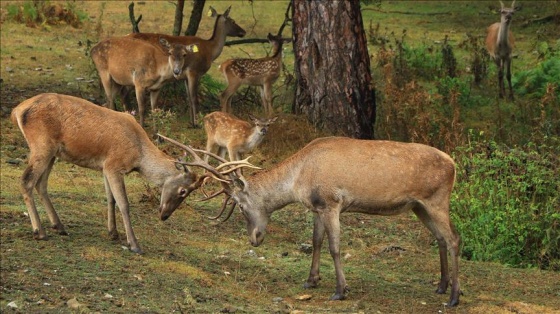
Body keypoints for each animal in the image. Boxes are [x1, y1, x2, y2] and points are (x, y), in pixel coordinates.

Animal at [9, 92, 207, 253]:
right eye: (183, 190)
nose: (164, 216)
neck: (139, 153)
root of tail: (17, 110)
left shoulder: (105, 166)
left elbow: (110, 198)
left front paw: (113, 233)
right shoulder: (114, 165)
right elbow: (124, 203)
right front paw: (134, 244)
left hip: (52, 153)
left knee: (41, 184)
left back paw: (59, 226)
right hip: (42, 146)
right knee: (26, 181)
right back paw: (40, 232)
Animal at [170, 136, 460, 306]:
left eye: (240, 205)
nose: (254, 238)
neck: (298, 179)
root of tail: (454, 165)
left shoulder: (332, 202)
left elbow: (334, 247)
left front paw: (340, 290)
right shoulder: (318, 207)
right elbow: (317, 241)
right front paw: (311, 280)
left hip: (436, 200)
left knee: (454, 239)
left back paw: (454, 296)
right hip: (419, 207)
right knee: (440, 238)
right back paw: (441, 286)